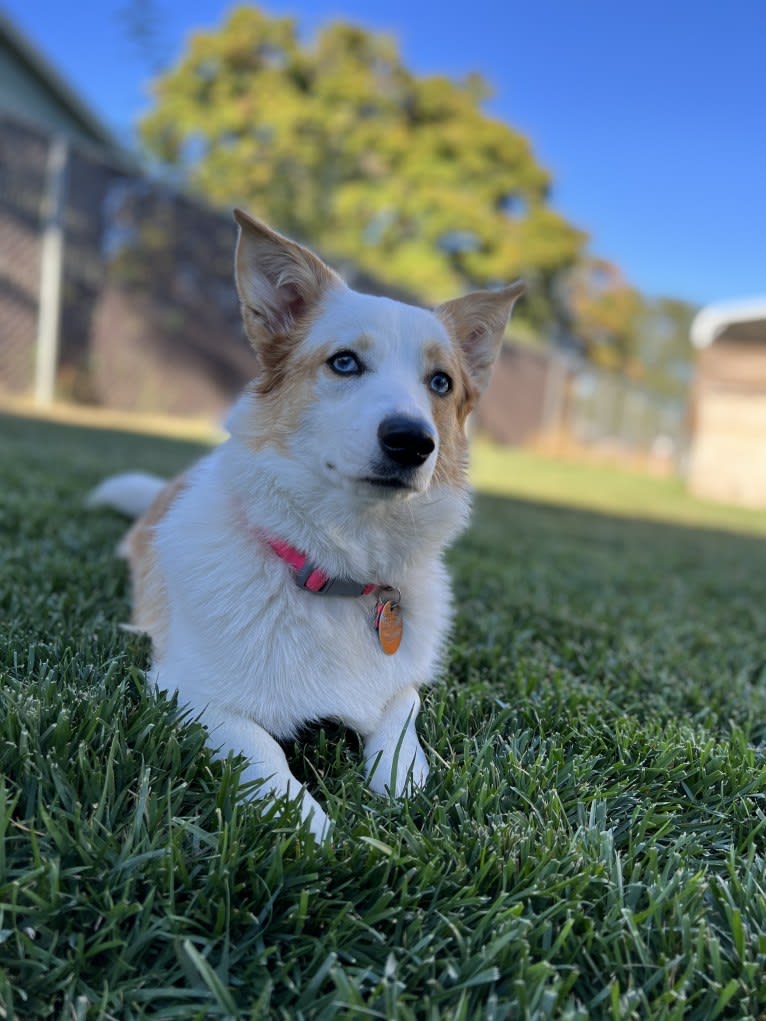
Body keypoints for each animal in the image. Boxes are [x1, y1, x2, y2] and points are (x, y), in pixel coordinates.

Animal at [88, 211, 522, 841]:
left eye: (440, 383)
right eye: (344, 362)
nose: (413, 441)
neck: (338, 570)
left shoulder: (403, 687)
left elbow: (400, 730)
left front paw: (405, 790)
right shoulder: (186, 691)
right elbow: (264, 750)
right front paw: (315, 832)